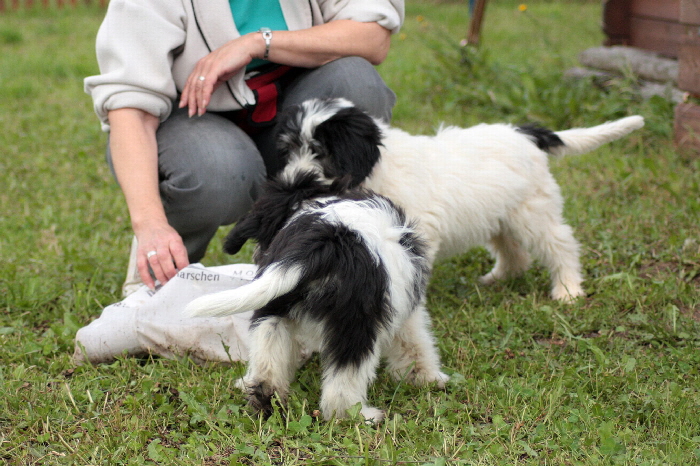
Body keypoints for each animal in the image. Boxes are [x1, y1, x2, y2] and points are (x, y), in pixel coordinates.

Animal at [185, 102, 448, 422]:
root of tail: (322, 242)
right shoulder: (405, 303)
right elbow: (414, 341)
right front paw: (426, 377)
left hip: (273, 309)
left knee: (267, 363)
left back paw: (265, 398)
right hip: (356, 322)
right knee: (342, 387)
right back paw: (362, 416)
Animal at [268, 98, 644, 302]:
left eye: (320, 152)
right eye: (290, 149)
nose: (291, 182)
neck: (376, 167)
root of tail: (526, 134)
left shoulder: (416, 229)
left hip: (532, 209)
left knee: (560, 243)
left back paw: (568, 288)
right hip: (499, 213)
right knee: (513, 250)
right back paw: (500, 277)